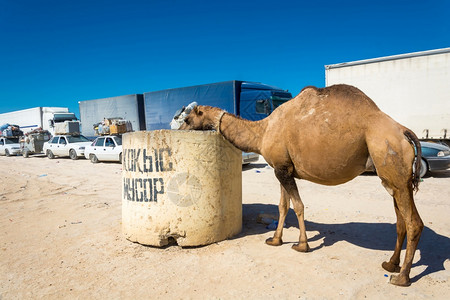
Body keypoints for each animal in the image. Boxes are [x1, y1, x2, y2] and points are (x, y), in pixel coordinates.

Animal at [178, 84, 422, 286]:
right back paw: (391, 264)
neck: (263, 131)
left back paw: (402, 277)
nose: (178, 130)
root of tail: (404, 131)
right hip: (394, 179)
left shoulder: (282, 170)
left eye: (187, 119)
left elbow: (298, 206)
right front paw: (275, 240)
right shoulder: (281, 168)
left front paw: (302, 245)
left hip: (390, 158)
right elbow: (283, 206)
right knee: (401, 221)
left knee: (413, 223)